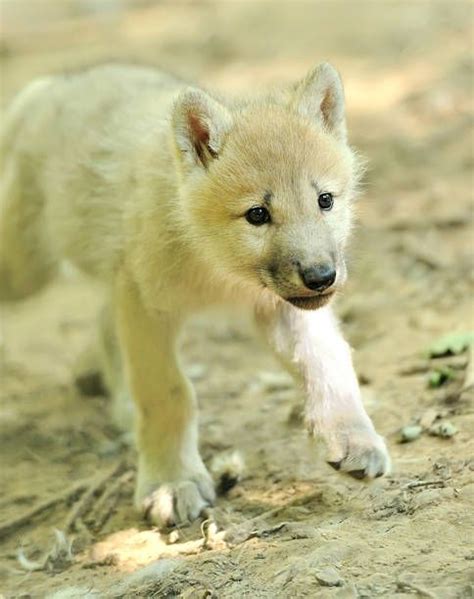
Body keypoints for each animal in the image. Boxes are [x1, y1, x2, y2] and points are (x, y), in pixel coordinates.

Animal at [0, 63, 388, 528]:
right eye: (258, 214)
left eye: (324, 200)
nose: (321, 277)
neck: (216, 268)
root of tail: (48, 87)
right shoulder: (146, 304)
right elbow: (170, 394)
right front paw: (172, 482)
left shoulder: (279, 306)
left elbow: (329, 363)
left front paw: (352, 436)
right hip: (24, 271)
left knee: (105, 323)